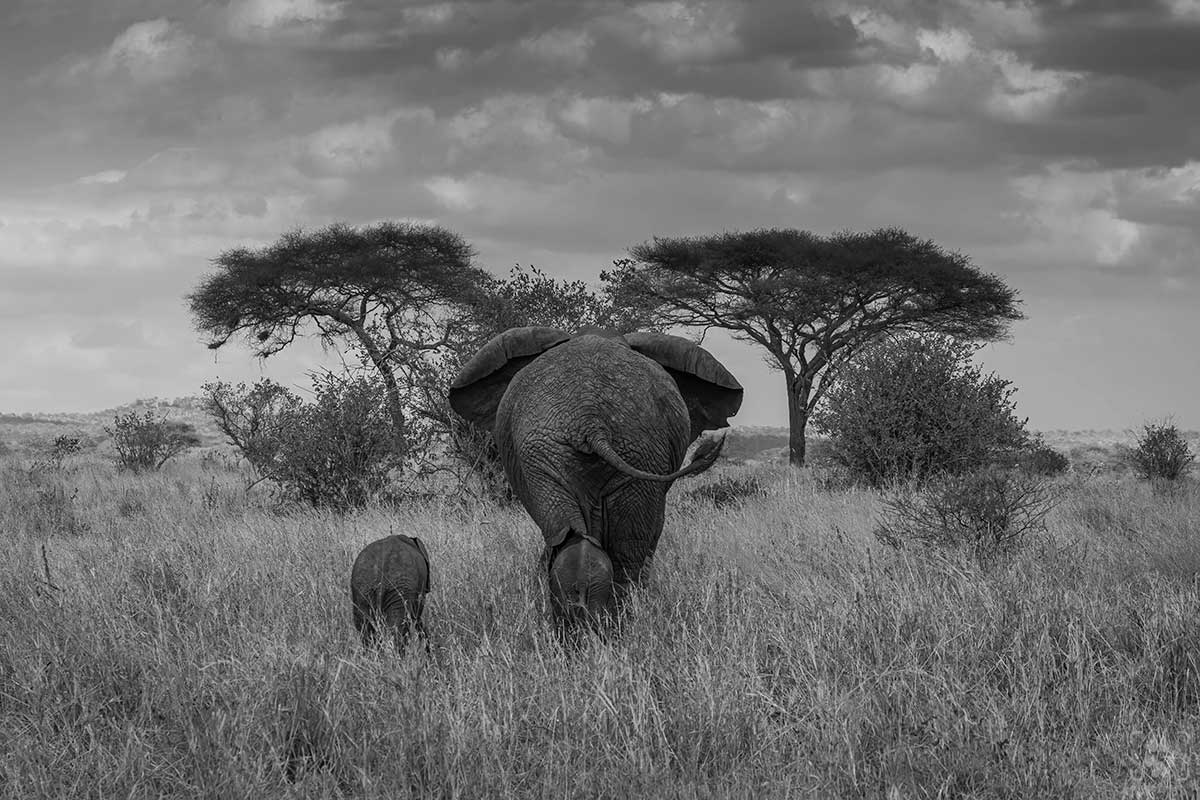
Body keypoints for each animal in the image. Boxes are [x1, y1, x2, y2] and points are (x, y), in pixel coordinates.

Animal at [448, 326, 742, 628]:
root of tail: (590, 419)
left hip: (566, 450)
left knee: (574, 536)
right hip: (596, 448)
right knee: (624, 548)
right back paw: (620, 622)